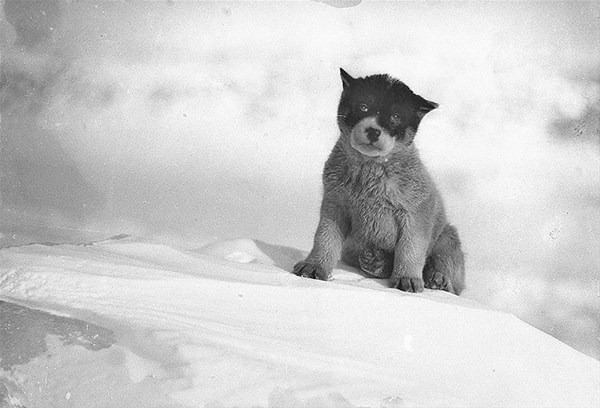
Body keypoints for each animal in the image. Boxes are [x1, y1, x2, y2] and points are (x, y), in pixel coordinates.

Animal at [292, 69, 466, 294]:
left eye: (396, 117)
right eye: (363, 106)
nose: (374, 131)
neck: (370, 170)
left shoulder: (416, 214)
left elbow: (410, 249)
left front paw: (407, 279)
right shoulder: (334, 206)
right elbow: (325, 238)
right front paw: (313, 266)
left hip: (447, 238)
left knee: (450, 279)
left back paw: (437, 279)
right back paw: (376, 261)